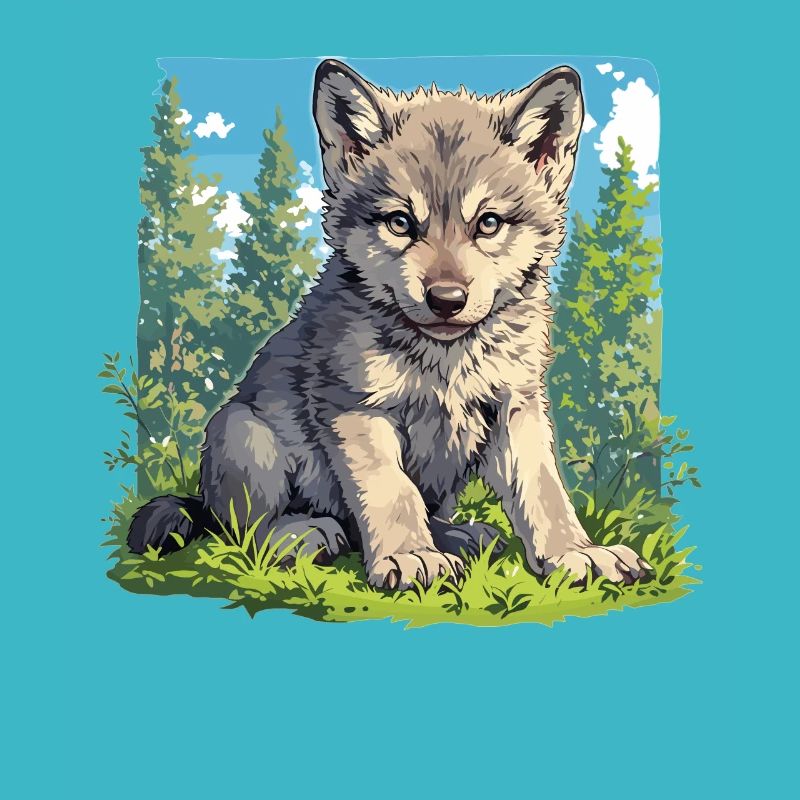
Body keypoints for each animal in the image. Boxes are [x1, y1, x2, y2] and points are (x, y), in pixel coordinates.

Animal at [129, 59, 651, 590]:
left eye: (488, 224)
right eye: (400, 223)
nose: (446, 300)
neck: (446, 359)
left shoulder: (517, 406)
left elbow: (544, 491)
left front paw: (576, 553)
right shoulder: (359, 411)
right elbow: (392, 492)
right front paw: (409, 556)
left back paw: (457, 535)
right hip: (242, 433)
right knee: (243, 530)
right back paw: (304, 534)